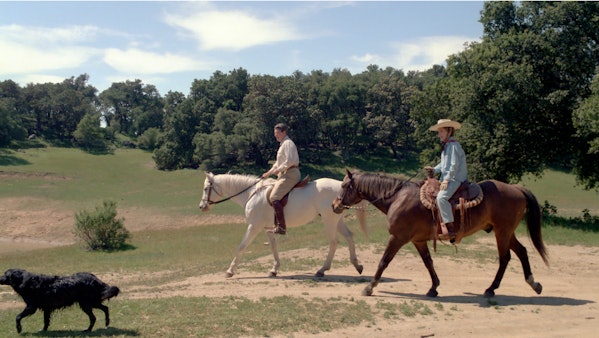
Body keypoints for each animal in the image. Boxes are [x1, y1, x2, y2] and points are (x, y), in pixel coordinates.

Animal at [199, 173, 368, 278]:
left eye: (206, 188)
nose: (202, 206)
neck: (252, 194)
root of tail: (340, 186)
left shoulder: (254, 226)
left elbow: (242, 246)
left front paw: (230, 271)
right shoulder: (267, 228)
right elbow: (273, 247)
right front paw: (274, 269)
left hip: (329, 220)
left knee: (334, 242)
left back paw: (322, 270)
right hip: (337, 220)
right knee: (349, 236)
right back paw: (357, 265)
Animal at [332, 170, 548, 298]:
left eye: (344, 186)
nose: (335, 205)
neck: (397, 198)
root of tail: (516, 189)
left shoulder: (398, 238)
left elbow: (384, 261)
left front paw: (370, 287)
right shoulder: (418, 240)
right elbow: (428, 262)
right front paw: (433, 287)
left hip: (502, 232)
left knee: (505, 258)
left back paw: (491, 289)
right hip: (505, 231)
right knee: (522, 251)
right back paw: (534, 284)